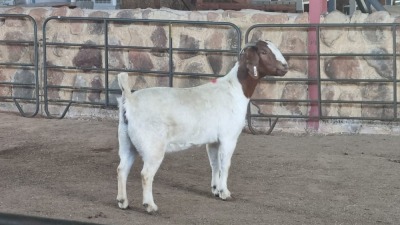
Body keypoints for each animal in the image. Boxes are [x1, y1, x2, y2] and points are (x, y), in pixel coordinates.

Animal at [115, 39, 288, 212]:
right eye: (264, 52)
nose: (285, 66)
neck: (235, 89)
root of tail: (129, 100)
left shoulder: (213, 141)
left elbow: (215, 164)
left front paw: (215, 190)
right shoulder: (229, 137)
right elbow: (225, 165)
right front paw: (225, 193)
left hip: (126, 141)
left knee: (122, 169)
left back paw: (123, 201)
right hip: (152, 146)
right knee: (146, 174)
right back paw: (150, 205)